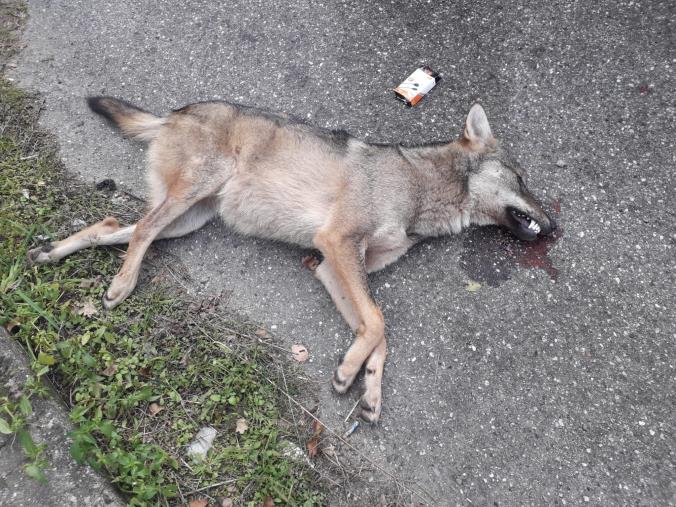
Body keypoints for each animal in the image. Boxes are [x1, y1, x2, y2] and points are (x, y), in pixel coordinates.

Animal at [28, 98, 556, 422]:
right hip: (188, 201)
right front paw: (349, 372)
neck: (419, 191)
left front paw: (368, 388)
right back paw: (121, 285)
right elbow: (380, 322)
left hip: (187, 219)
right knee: (138, 232)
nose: (555, 227)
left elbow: (377, 333)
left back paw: (50, 252)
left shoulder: (329, 263)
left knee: (111, 226)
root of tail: (173, 114)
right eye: (522, 180)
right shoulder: (338, 243)